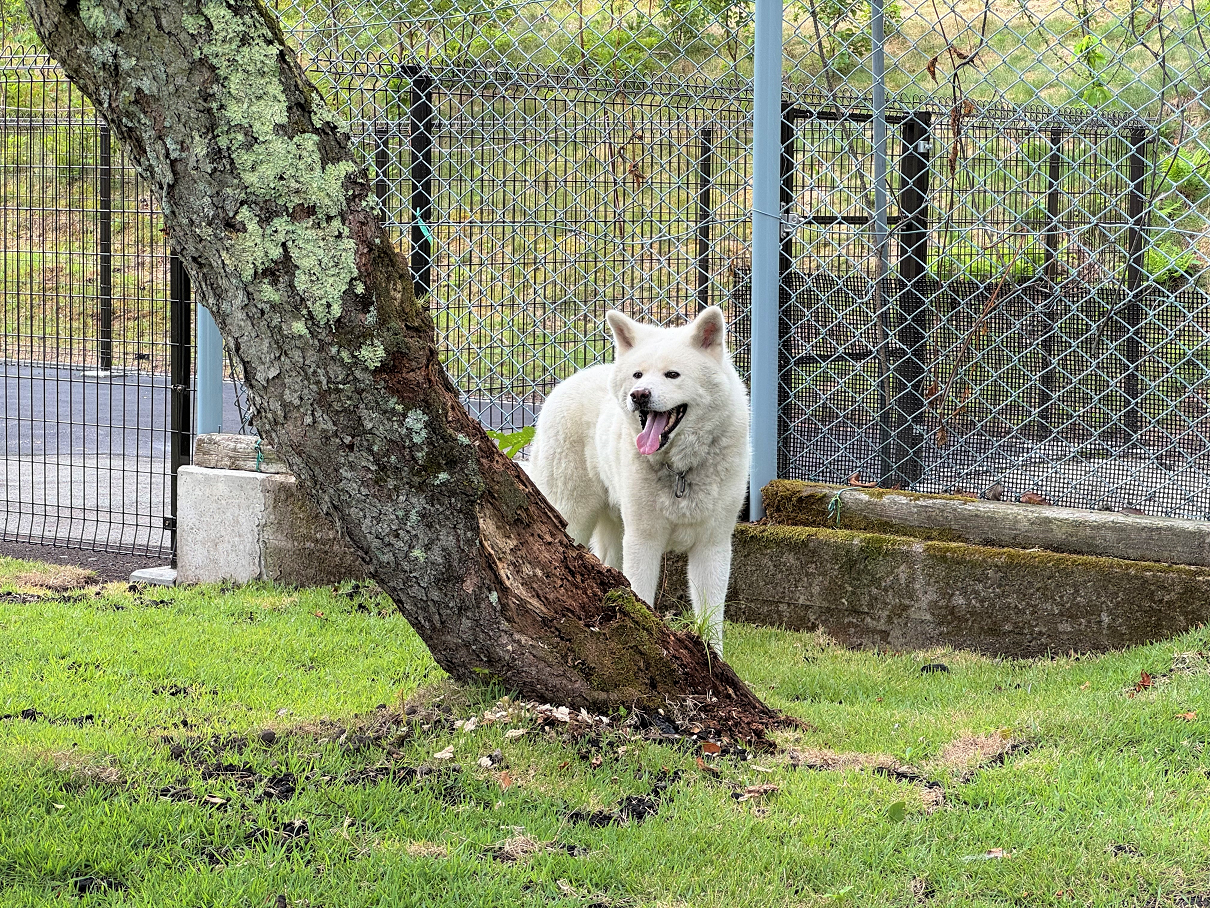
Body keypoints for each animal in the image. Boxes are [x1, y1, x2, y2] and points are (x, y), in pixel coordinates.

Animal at [527, 307, 745, 653]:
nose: (639, 395)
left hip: (613, 529)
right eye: (638, 375)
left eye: (672, 375)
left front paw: (714, 658)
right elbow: (640, 597)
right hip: (573, 517)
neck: (680, 471)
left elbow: (711, 618)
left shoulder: (712, 544)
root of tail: (564, 384)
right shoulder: (643, 541)